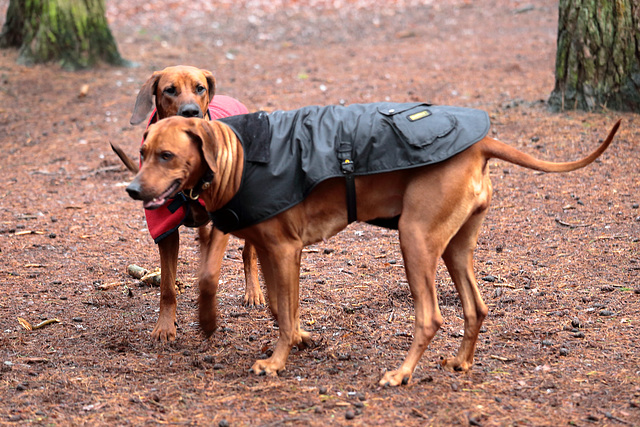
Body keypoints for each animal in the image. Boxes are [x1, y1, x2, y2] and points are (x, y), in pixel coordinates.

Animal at [112, 64, 262, 344]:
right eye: (169, 90)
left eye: (199, 88)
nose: (191, 111)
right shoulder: (165, 230)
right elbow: (167, 286)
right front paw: (165, 326)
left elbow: (211, 276)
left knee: (248, 251)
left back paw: (254, 292)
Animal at [125, 106, 620, 384]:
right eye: (143, 152)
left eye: (166, 155)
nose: (131, 189)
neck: (241, 156)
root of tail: (480, 145)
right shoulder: (273, 250)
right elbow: (282, 306)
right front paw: (290, 339)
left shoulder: (284, 250)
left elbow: (283, 313)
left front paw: (277, 361)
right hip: (455, 247)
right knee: (476, 308)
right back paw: (460, 364)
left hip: (414, 238)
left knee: (431, 317)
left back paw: (401, 374)